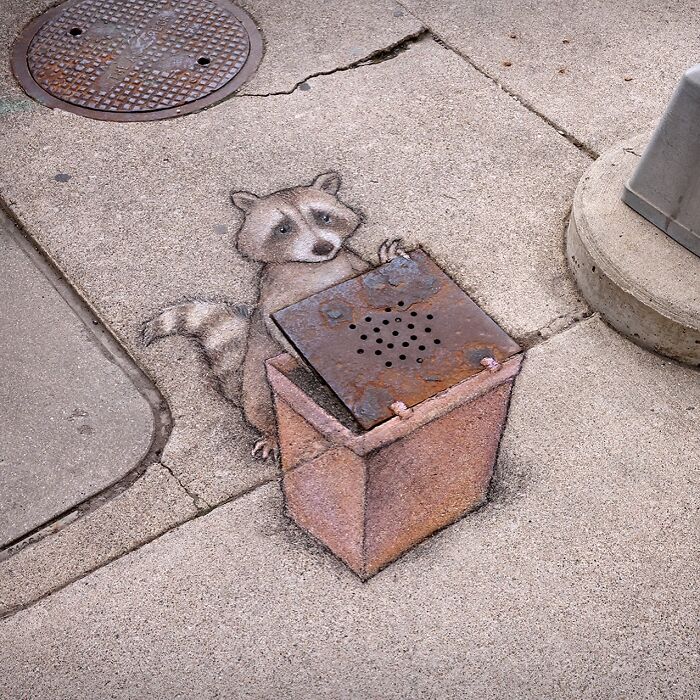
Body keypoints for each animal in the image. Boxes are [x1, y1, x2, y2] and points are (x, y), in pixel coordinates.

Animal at [144, 172, 406, 460]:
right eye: (283, 229)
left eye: (323, 217)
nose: (323, 247)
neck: (317, 267)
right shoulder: (274, 293)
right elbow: (280, 329)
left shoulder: (352, 266)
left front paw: (387, 264)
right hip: (256, 386)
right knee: (262, 407)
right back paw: (270, 432)